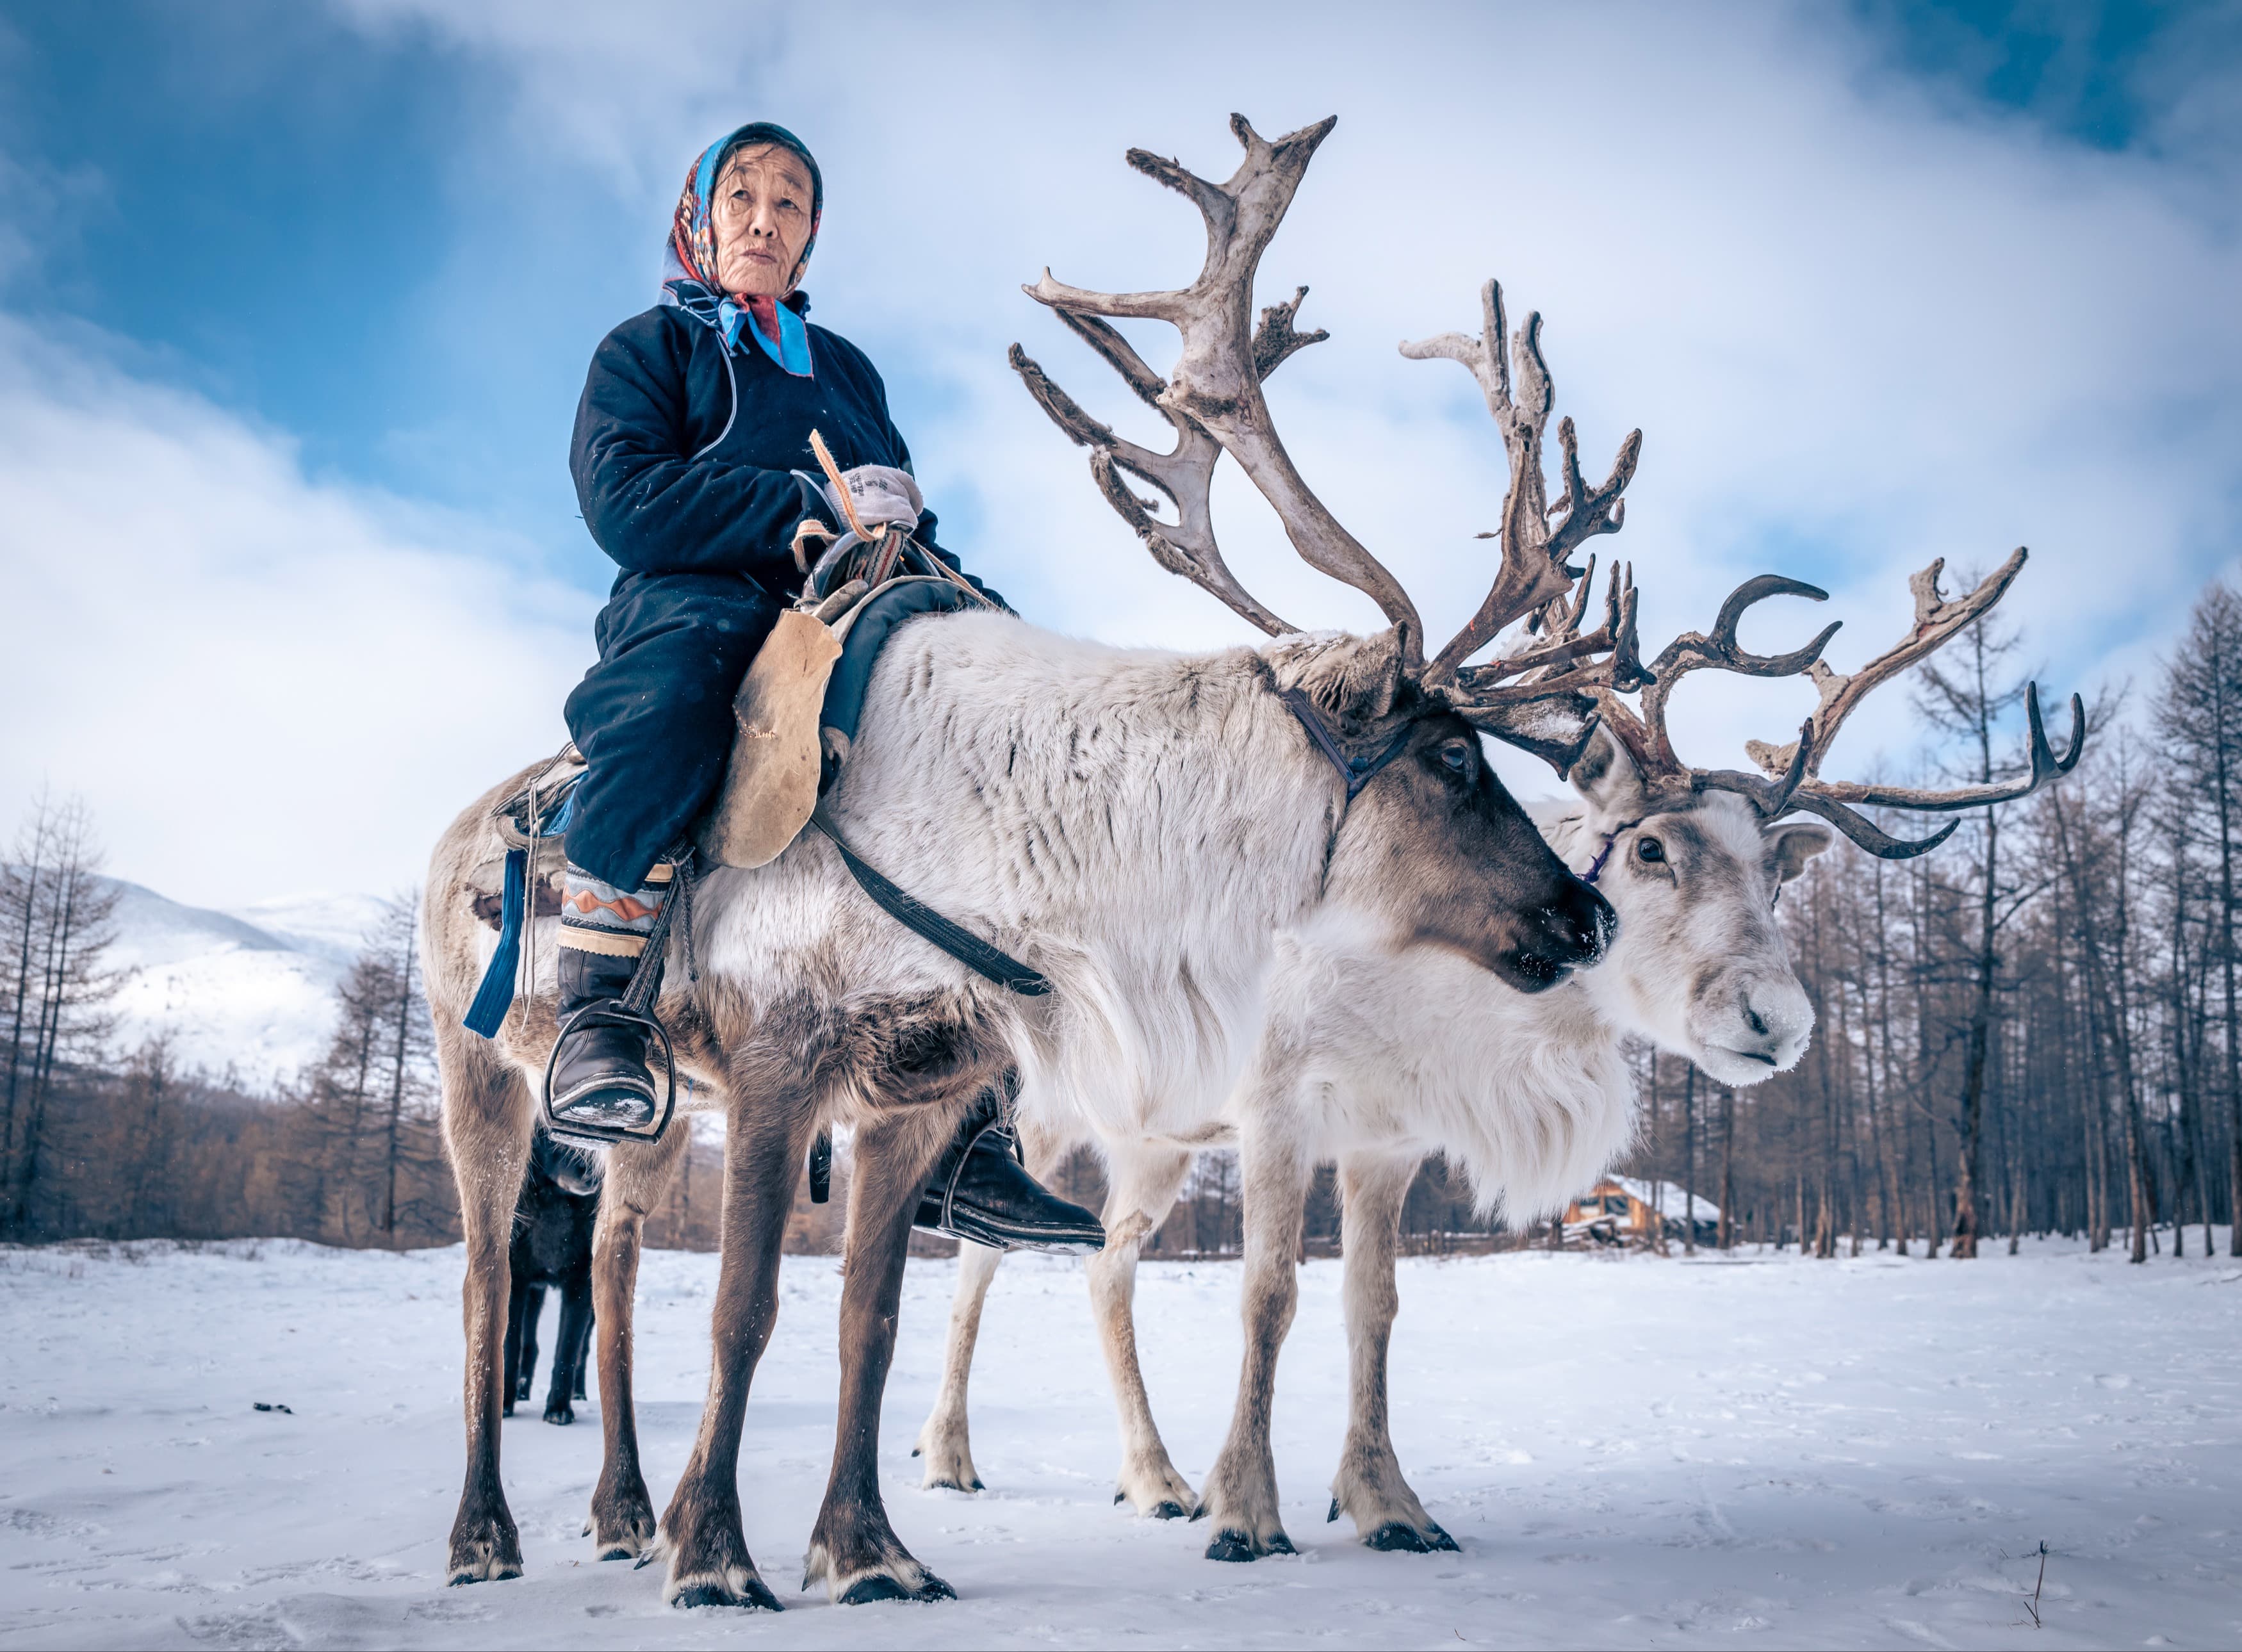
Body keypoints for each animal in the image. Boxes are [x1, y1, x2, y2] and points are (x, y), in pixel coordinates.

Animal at [421, 113, 1654, 1611]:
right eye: (1458, 757)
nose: (1586, 913)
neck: (1034, 875)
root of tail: (465, 817)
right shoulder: (780, 1056)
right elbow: (744, 1309)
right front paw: (716, 1554)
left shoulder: (917, 1087)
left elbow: (873, 1315)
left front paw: (866, 1549)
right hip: (480, 1061)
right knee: (489, 1278)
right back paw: (488, 1530)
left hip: (655, 1116)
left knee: (605, 1263)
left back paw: (617, 1511)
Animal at [908, 132, 2086, 1566]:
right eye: (1647, 848)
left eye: (1775, 865)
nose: (1779, 1018)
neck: (1439, 999)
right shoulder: (1273, 1107)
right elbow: (1265, 1294)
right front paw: (1251, 1508)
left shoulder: (1388, 1137)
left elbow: (1372, 1308)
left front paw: (1385, 1500)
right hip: (1053, 1110)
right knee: (986, 1254)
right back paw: (957, 1451)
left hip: (1152, 1133)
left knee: (1107, 1261)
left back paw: (1152, 1471)